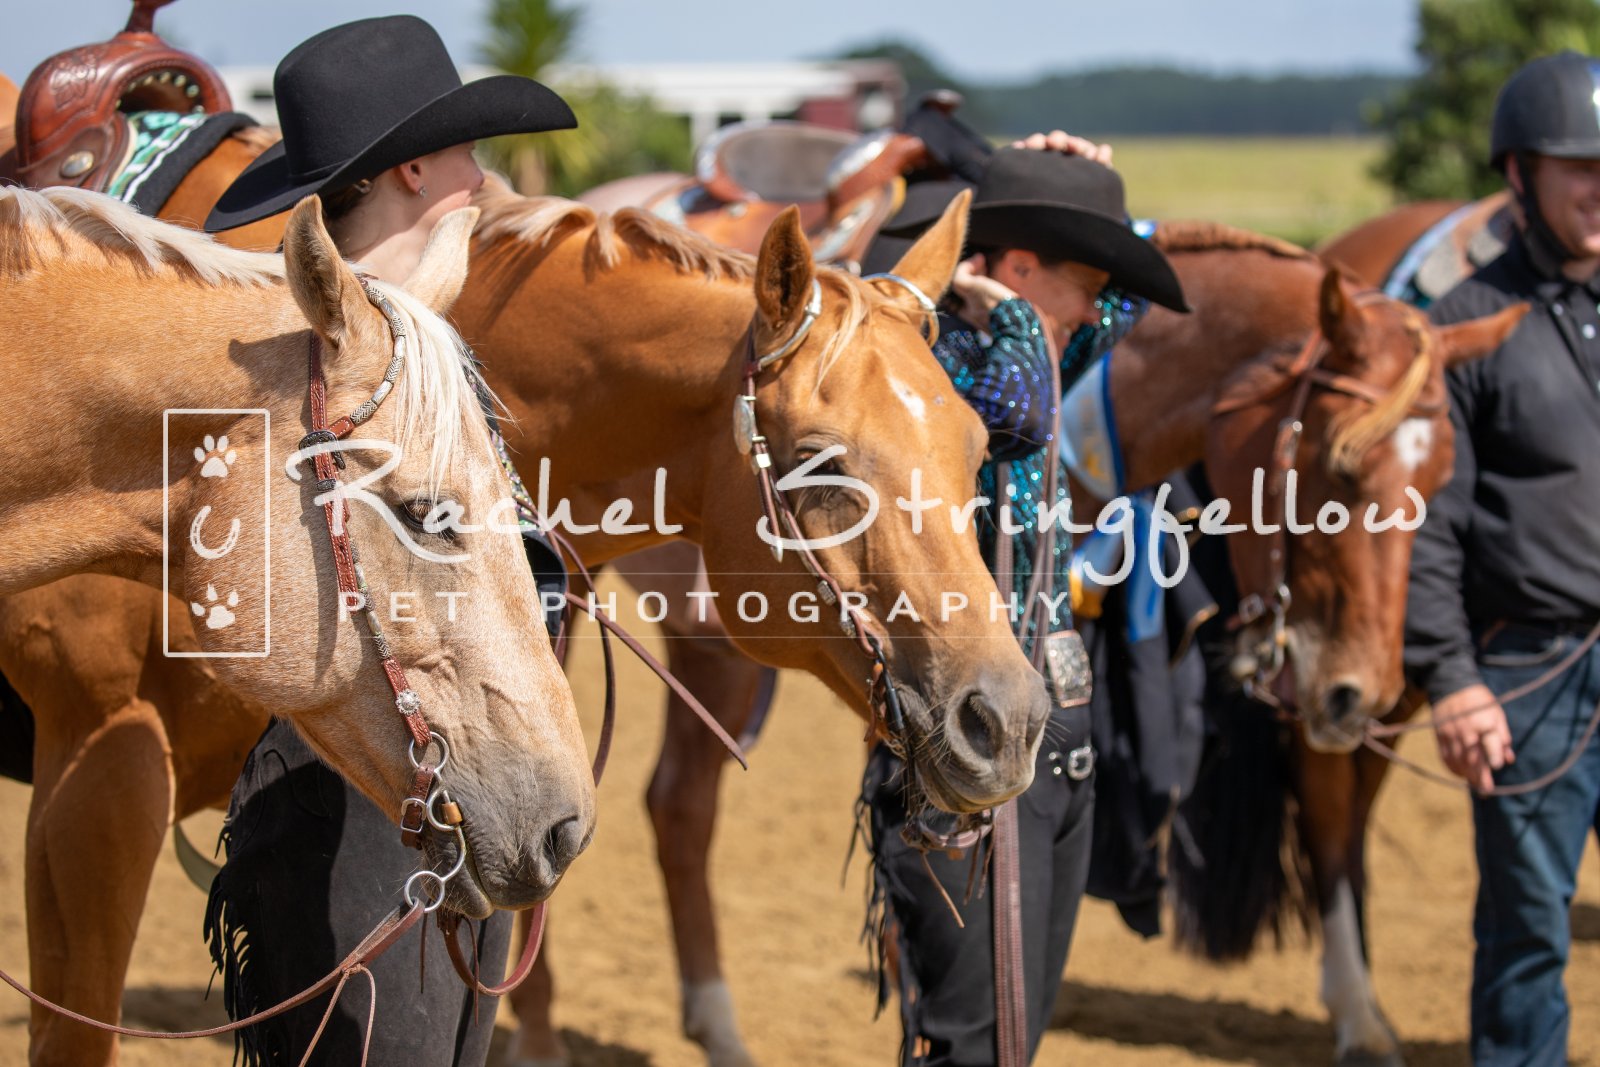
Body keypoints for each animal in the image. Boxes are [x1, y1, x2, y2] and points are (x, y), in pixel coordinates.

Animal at [506, 223, 1525, 1067]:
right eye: (1337, 465)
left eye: (1444, 472)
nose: (1361, 690)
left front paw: (1363, 1012)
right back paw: (548, 1033)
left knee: (671, 805)